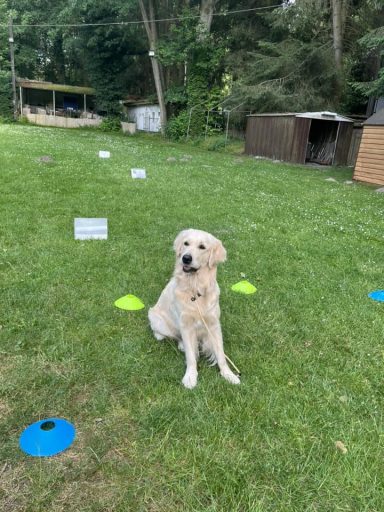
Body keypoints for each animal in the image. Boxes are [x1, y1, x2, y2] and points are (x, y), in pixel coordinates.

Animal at [148, 228, 240, 388]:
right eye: (186, 243)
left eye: (202, 247)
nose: (186, 258)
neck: (195, 289)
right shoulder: (186, 324)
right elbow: (191, 356)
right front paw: (190, 377)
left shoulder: (214, 324)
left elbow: (220, 353)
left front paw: (228, 375)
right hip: (155, 318)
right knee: (170, 336)